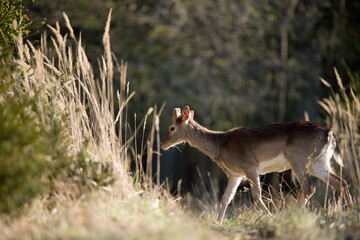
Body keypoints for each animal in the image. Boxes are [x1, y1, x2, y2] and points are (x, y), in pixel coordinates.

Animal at [160, 106, 352, 222]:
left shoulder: (251, 166)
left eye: (171, 128)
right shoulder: (235, 173)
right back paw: (349, 212)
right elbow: (225, 198)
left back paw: (294, 215)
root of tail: (330, 133)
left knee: (309, 187)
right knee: (340, 182)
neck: (222, 145)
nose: (162, 144)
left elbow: (256, 196)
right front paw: (217, 222)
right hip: (319, 163)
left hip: (299, 159)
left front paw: (271, 217)